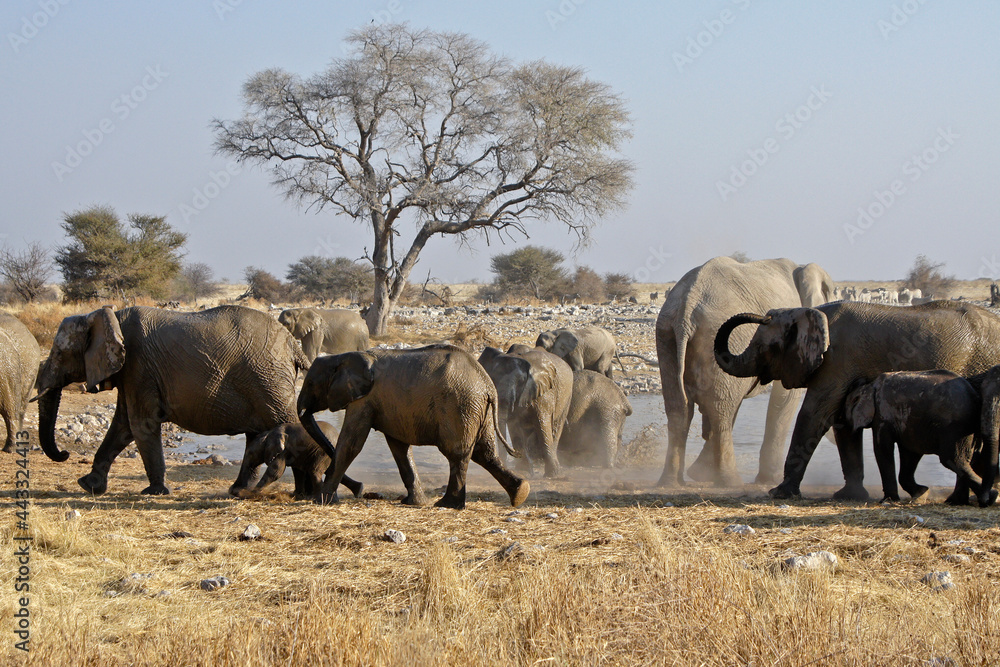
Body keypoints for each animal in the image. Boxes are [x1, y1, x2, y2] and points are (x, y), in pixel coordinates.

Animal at [33, 304, 363, 497]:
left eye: (59, 354)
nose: (64, 453)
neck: (107, 316)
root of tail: (293, 347)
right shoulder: (132, 372)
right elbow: (123, 426)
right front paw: (88, 486)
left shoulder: (139, 366)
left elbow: (141, 424)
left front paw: (154, 493)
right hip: (263, 379)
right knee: (256, 436)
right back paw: (238, 490)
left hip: (268, 378)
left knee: (287, 425)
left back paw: (301, 495)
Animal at [297, 344, 530, 509]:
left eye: (310, 384)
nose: (360, 488)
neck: (343, 357)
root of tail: (488, 385)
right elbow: (399, 448)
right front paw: (414, 502)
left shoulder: (364, 400)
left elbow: (351, 443)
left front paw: (322, 500)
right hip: (478, 410)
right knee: (485, 453)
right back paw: (521, 493)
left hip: (459, 407)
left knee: (457, 453)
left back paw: (447, 505)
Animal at [478, 346, 573, 478]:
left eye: (520, 381)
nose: (515, 453)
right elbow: (515, 428)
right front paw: (523, 472)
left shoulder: (542, 392)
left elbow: (542, 425)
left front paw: (552, 475)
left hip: (567, 396)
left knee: (556, 427)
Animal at [655, 257, 834, 488]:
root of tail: (686, 308)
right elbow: (785, 397)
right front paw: (770, 480)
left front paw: (702, 474)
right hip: (718, 336)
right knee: (720, 409)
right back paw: (731, 482)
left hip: (667, 336)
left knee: (680, 408)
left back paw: (672, 482)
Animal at [844, 370, 996, 507]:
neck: (868, 387)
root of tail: (975, 397)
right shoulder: (909, 424)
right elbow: (910, 453)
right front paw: (921, 494)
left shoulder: (882, 415)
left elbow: (883, 449)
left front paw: (888, 500)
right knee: (967, 458)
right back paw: (982, 497)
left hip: (957, 426)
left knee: (952, 458)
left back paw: (986, 497)